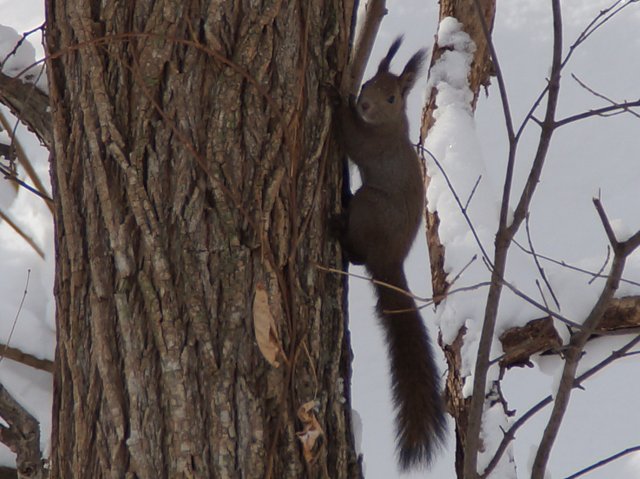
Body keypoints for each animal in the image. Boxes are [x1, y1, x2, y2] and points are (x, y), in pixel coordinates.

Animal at [330, 38, 444, 472]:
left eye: (393, 96)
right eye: (369, 83)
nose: (362, 103)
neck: (391, 124)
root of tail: (390, 261)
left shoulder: (371, 144)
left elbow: (351, 139)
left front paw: (337, 100)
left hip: (370, 208)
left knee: (358, 254)